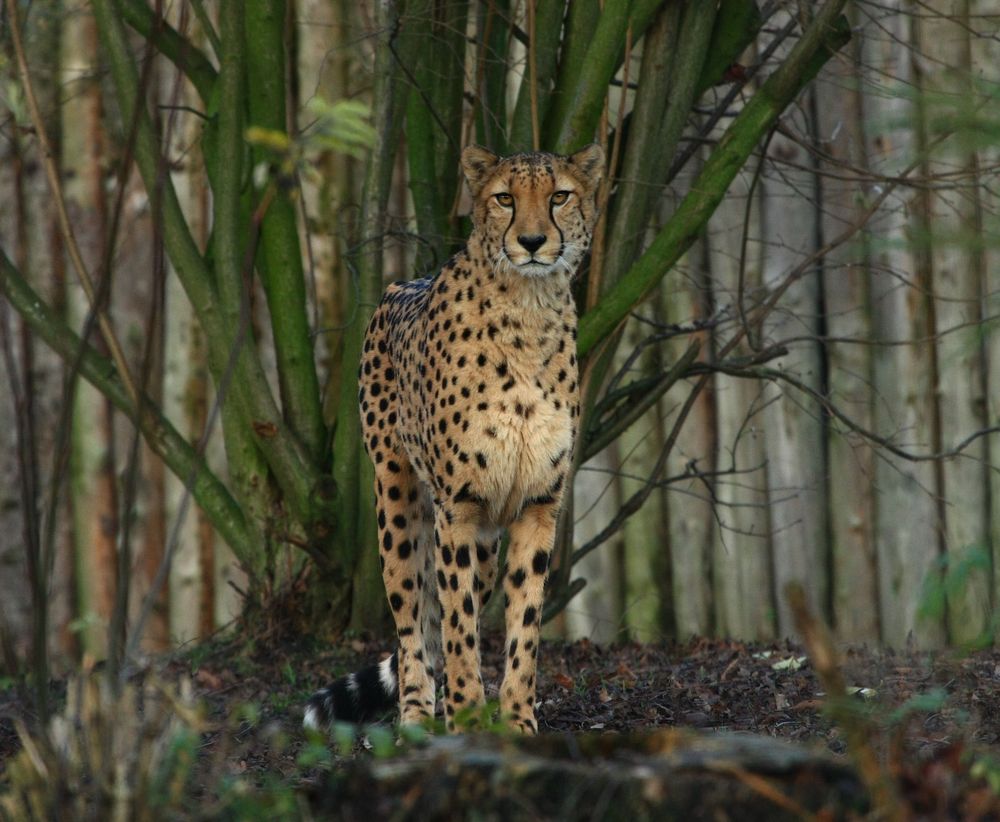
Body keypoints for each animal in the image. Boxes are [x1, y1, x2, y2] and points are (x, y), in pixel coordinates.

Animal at [304, 145, 600, 736]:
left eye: (560, 195)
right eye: (504, 198)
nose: (532, 241)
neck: (529, 311)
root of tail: (401, 285)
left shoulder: (537, 505)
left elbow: (524, 624)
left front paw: (516, 720)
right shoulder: (456, 507)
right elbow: (457, 625)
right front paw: (464, 717)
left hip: (485, 534)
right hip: (397, 499)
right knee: (413, 622)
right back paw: (418, 716)